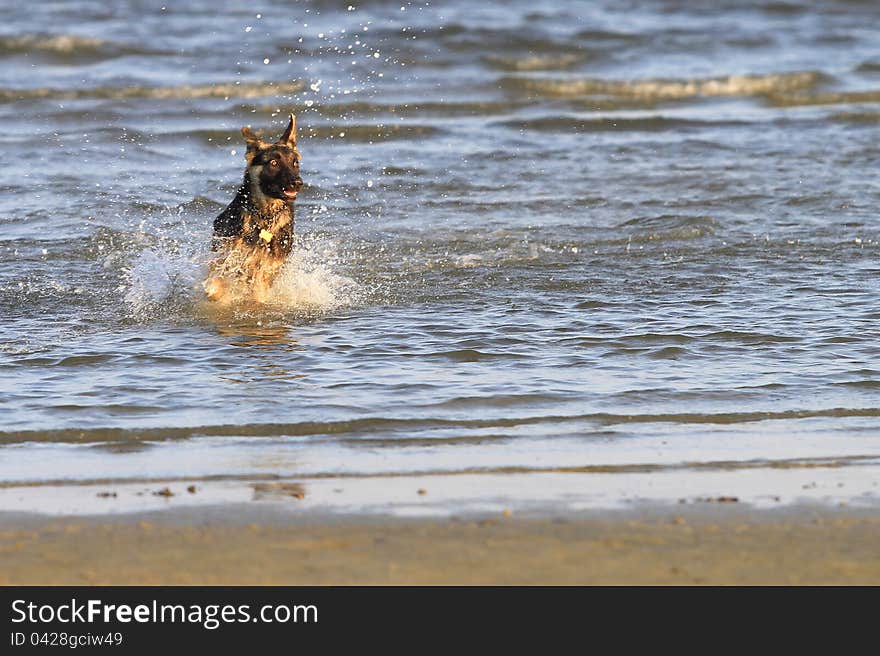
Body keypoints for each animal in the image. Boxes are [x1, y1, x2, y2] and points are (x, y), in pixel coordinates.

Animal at [205, 113, 304, 304]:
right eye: (273, 162)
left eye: (295, 163)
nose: (297, 183)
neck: (265, 216)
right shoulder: (229, 257)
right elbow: (218, 278)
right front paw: (214, 291)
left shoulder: (266, 271)